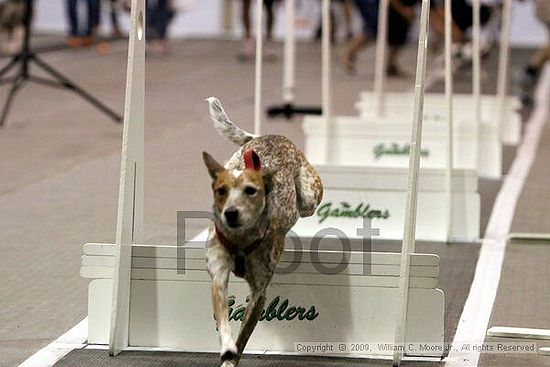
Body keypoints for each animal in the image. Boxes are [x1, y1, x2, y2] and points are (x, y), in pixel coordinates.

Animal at [203, 98, 324, 367]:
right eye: (221, 191)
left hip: (310, 197)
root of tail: (268, 135)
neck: (241, 239)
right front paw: (226, 350)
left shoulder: (259, 293)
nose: (231, 213)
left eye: (251, 191)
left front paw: (232, 356)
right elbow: (224, 320)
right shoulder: (218, 276)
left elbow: (243, 335)